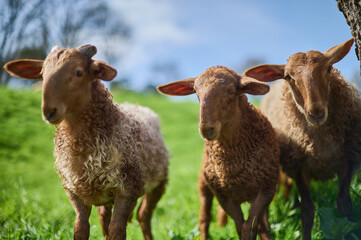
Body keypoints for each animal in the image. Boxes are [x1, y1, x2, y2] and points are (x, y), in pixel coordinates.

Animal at [3, 44, 169, 239]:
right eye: (42, 73)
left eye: (79, 72)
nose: (49, 111)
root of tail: (135, 105)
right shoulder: (74, 191)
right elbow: (80, 228)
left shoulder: (128, 189)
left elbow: (117, 230)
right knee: (105, 219)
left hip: (159, 183)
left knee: (143, 216)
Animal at [155, 65, 278, 240]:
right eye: (196, 92)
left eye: (231, 90)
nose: (206, 129)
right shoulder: (223, 195)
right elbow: (241, 227)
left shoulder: (267, 189)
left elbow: (251, 227)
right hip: (204, 186)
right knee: (204, 219)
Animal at [242, 38, 360, 239]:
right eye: (288, 77)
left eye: (329, 68)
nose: (316, 112)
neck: (322, 147)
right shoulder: (299, 166)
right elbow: (307, 212)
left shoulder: (348, 160)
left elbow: (345, 207)